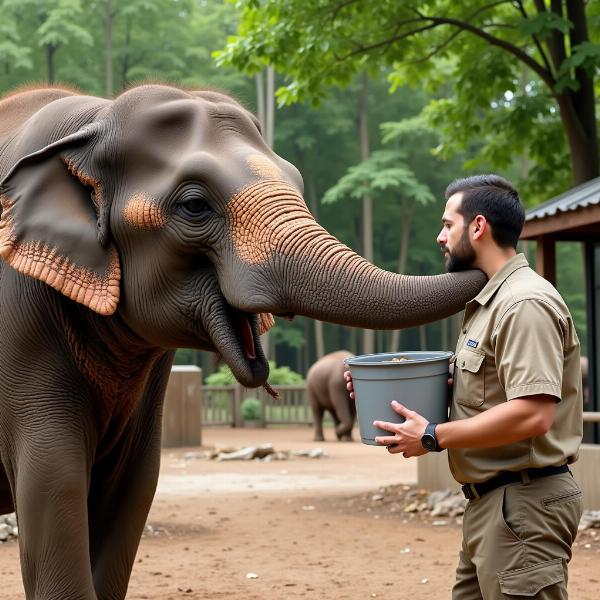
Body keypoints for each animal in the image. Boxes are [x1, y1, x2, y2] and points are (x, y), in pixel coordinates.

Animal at [0, 82, 488, 596]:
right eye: (194, 205)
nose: (472, 238)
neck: (93, 119)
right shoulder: (19, 323)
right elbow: (55, 478)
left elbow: (134, 483)